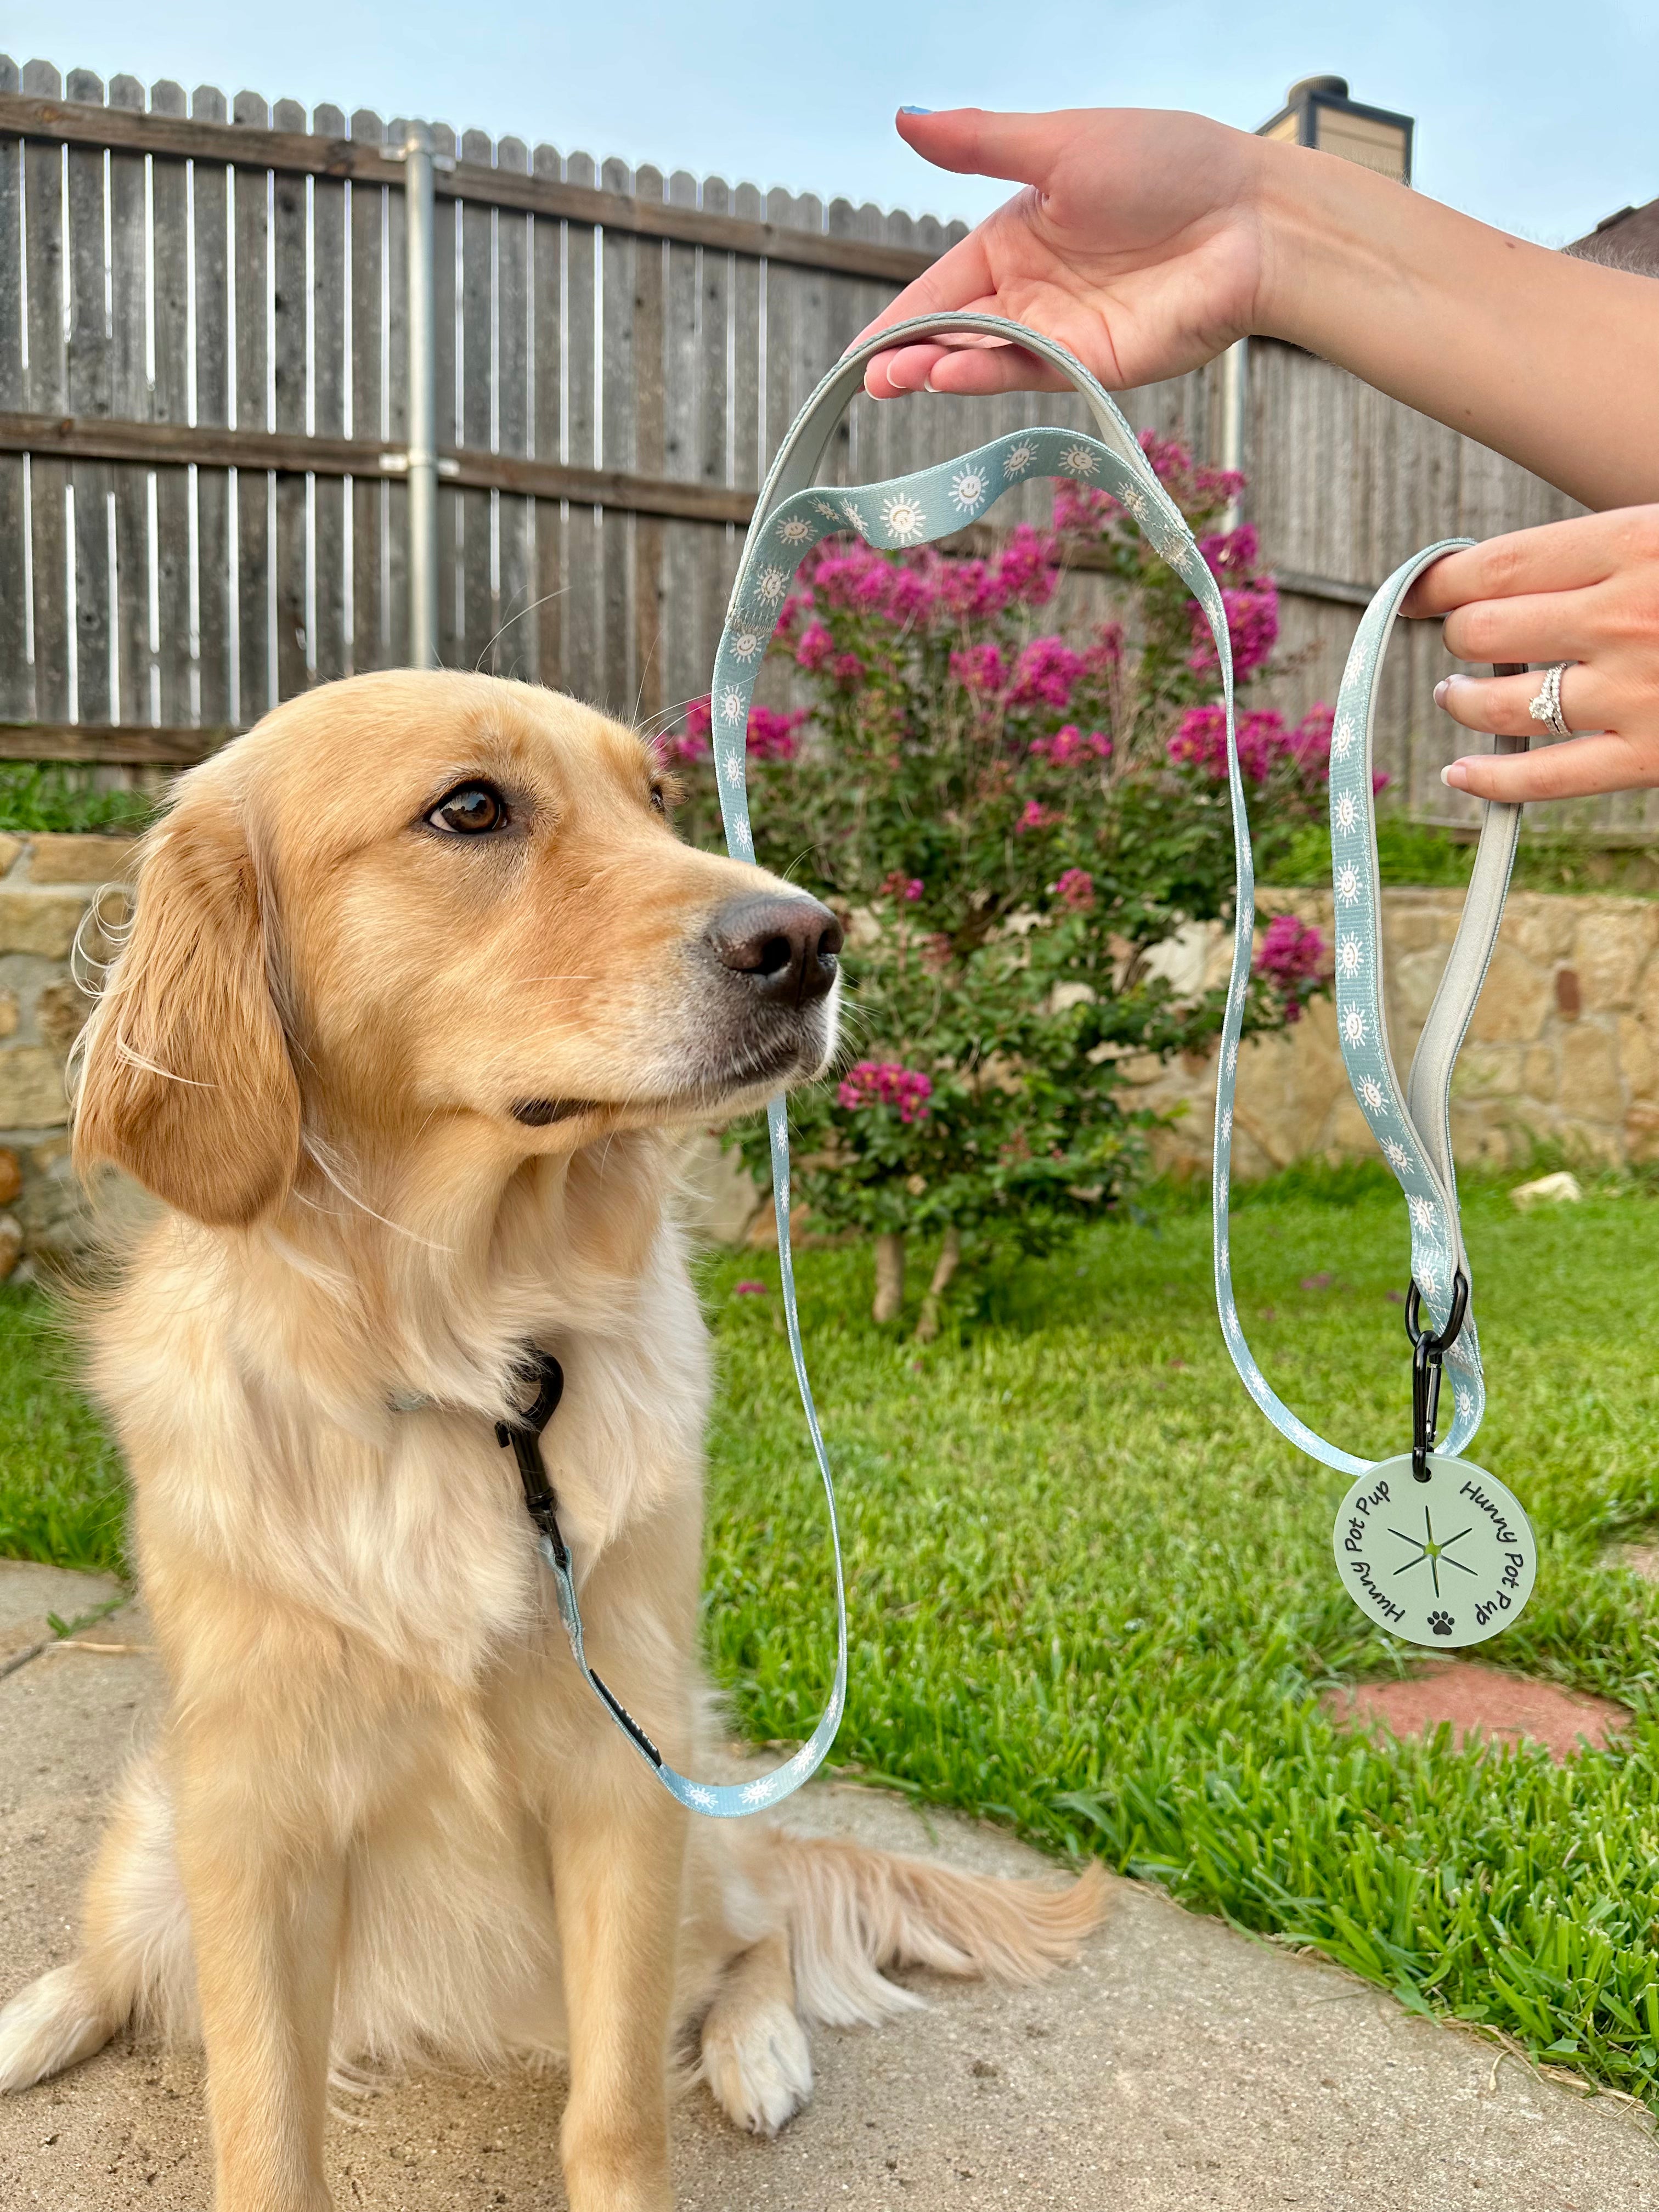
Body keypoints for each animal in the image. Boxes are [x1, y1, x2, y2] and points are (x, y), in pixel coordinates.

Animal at [0, 672, 1106, 2212]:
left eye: (657, 798)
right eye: (471, 808)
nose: (812, 941)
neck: (455, 1359)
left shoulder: (628, 1781)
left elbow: (617, 2111)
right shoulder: (251, 1814)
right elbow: (261, 2121)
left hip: (702, 1812)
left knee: (760, 1923)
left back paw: (759, 2048)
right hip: (157, 1837)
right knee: (119, 1962)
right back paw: (33, 2018)